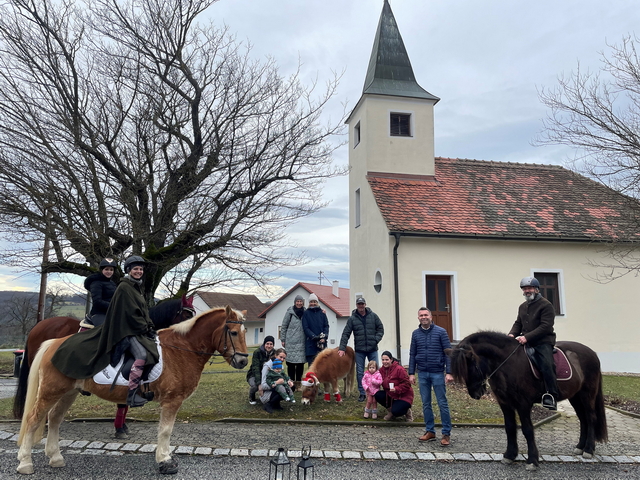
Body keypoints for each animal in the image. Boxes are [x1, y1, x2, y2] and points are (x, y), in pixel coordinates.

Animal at [16, 306, 248, 474]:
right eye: (234, 332)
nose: (243, 361)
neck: (182, 349)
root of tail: (53, 343)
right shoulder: (172, 400)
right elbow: (165, 430)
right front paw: (164, 460)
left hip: (68, 392)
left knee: (54, 418)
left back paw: (55, 458)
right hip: (51, 390)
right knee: (34, 419)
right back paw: (25, 463)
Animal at [448, 332, 608, 470]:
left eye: (471, 365)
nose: (475, 393)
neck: (507, 362)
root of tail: (592, 353)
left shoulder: (523, 403)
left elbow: (527, 430)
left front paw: (532, 460)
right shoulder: (505, 403)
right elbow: (510, 427)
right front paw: (510, 455)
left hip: (587, 394)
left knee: (590, 417)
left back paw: (588, 450)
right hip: (575, 396)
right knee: (583, 419)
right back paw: (580, 447)